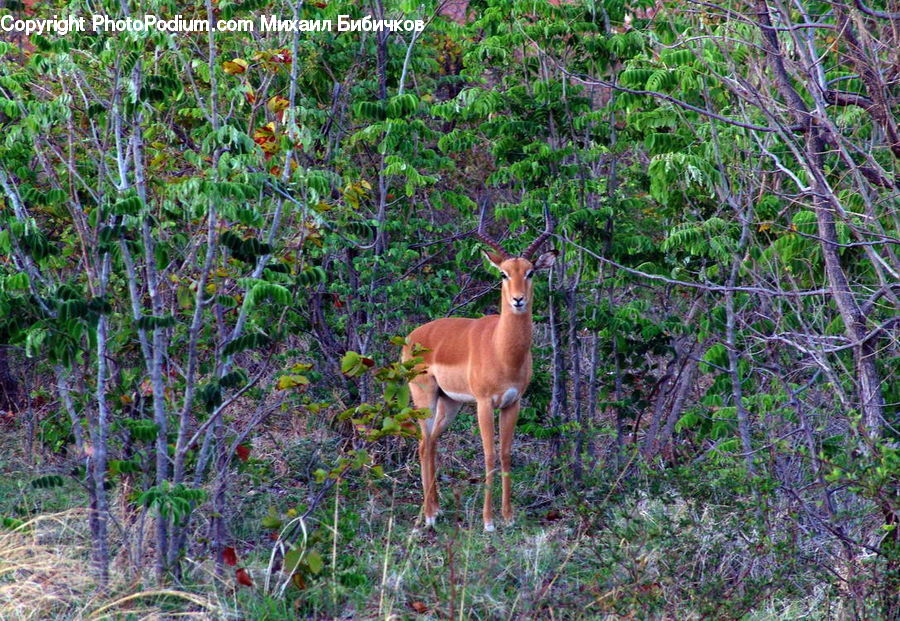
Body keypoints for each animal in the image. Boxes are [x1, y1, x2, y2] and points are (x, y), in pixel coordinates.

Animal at [401, 203, 556, 531]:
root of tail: (412, 337)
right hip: (424, 397)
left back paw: (436, 510)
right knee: (423, 443)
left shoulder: (512, 403)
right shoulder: (485, 403)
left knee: (432, 443)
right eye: (503, 273)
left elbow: (506, 454)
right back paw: (428, 516)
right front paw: (488, 522)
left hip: (450, 403)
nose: (518, 300)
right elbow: (488, 455)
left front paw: (508, 517)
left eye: (530, 271)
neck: (502, 350)